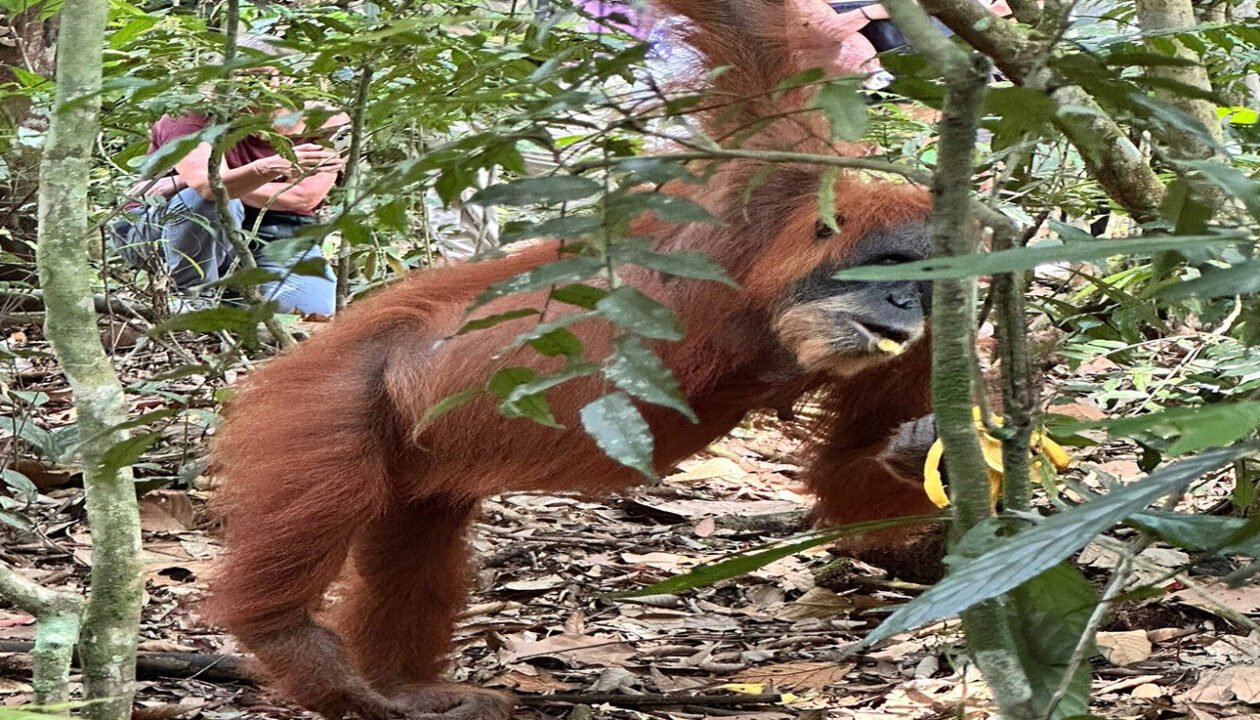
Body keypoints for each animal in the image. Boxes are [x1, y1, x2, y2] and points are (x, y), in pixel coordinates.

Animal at [206, 1, 943, 718]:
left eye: (926, 282)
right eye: (893, 266)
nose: (904, 302)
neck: (763, 296)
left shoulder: (923, 348)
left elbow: (843, 473)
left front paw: (918, 448)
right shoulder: (770, 162)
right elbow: (747, 27)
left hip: (411, 460)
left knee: (417, 547)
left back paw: (403, 687)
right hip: (326, 394)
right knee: (320, 496)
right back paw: (290, 641)